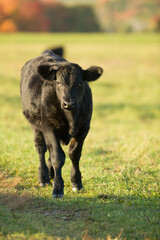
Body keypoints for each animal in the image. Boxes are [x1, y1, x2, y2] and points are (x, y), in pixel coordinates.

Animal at [20, 47, 103, 198]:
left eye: (80, 83)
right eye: (58, 83)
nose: (68, 103)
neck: (71, 118)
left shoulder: (83, 128)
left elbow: (74, 154)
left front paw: (76, 183)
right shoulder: (49, 127)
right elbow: (57, 157)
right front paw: (57, 188)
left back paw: (51, 174)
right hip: (36, 126)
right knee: (41, 149)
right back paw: (43, 178)